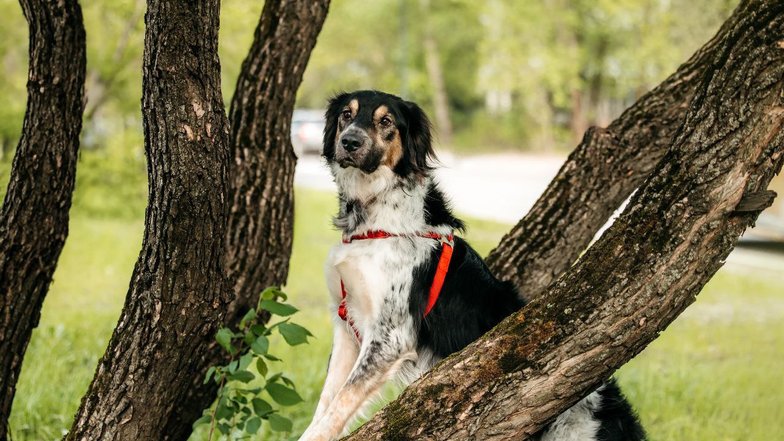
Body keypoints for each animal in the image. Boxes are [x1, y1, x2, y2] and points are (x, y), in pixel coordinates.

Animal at [298, 90, 644, 440]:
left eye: (386, 121)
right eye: (346, 114)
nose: (349, 141)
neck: (374, 220)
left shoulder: (390, 338)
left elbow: (339, 404)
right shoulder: (347, 324)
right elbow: (327, 402)